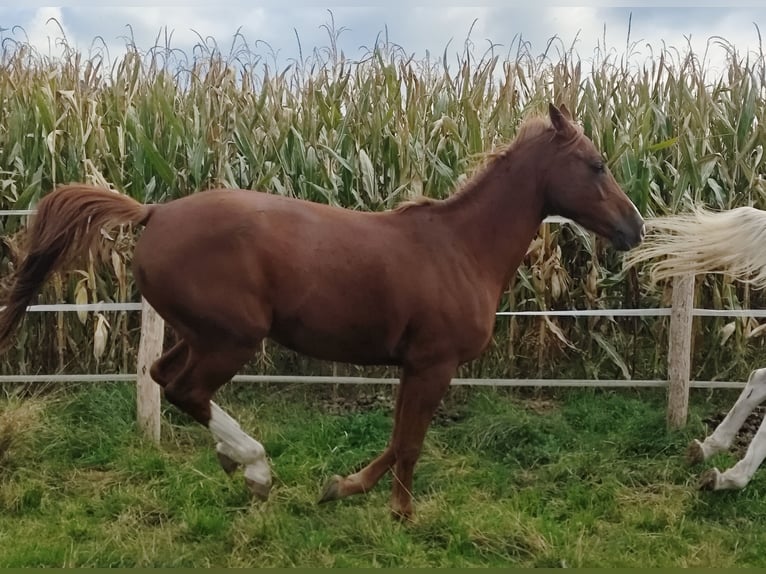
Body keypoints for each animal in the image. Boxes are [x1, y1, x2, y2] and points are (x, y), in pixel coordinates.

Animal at [0, 103, 644, 520]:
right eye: (596, 164)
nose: (634, 228)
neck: (461, 249)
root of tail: (154, 212)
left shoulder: (414, 367)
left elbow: (397, 438)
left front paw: (342, 488)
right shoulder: (434, 364)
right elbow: (409, 444)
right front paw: (399, 515)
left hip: (199, 332)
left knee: (164, 377)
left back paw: (233, 461)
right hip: (233, 338)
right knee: (186, 389)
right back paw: (256, 469)